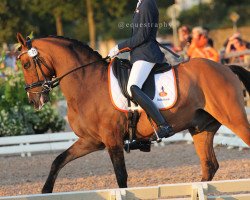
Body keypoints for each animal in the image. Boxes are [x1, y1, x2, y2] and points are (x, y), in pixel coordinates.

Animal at [16, 33, 250, 194]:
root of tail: (226, 68)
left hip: (234, 118)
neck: (87, 83)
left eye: (26, 64)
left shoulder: (112, 140)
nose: (34, 100)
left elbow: (121, 178)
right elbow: (58, 160)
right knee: (209, 166)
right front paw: (45, 191)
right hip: (201, 129)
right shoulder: (91, 140)